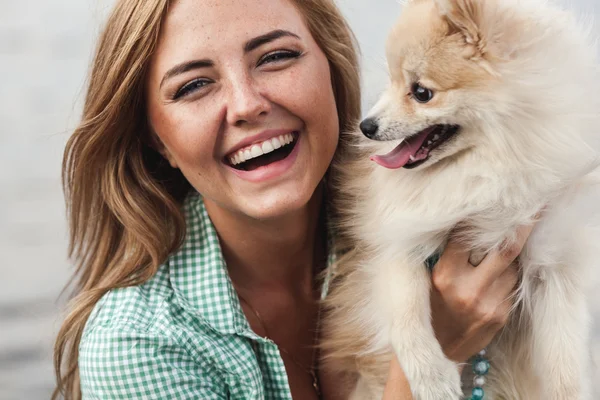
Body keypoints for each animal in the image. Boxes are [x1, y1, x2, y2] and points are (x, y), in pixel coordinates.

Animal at [324, 0, 600, 400]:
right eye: (391, 82)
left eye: (421, 92)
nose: (366, 126)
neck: (488, 165)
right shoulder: (399, 240)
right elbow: (406, 312)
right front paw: (431, 377)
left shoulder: (552, 264)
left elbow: (565, 361)